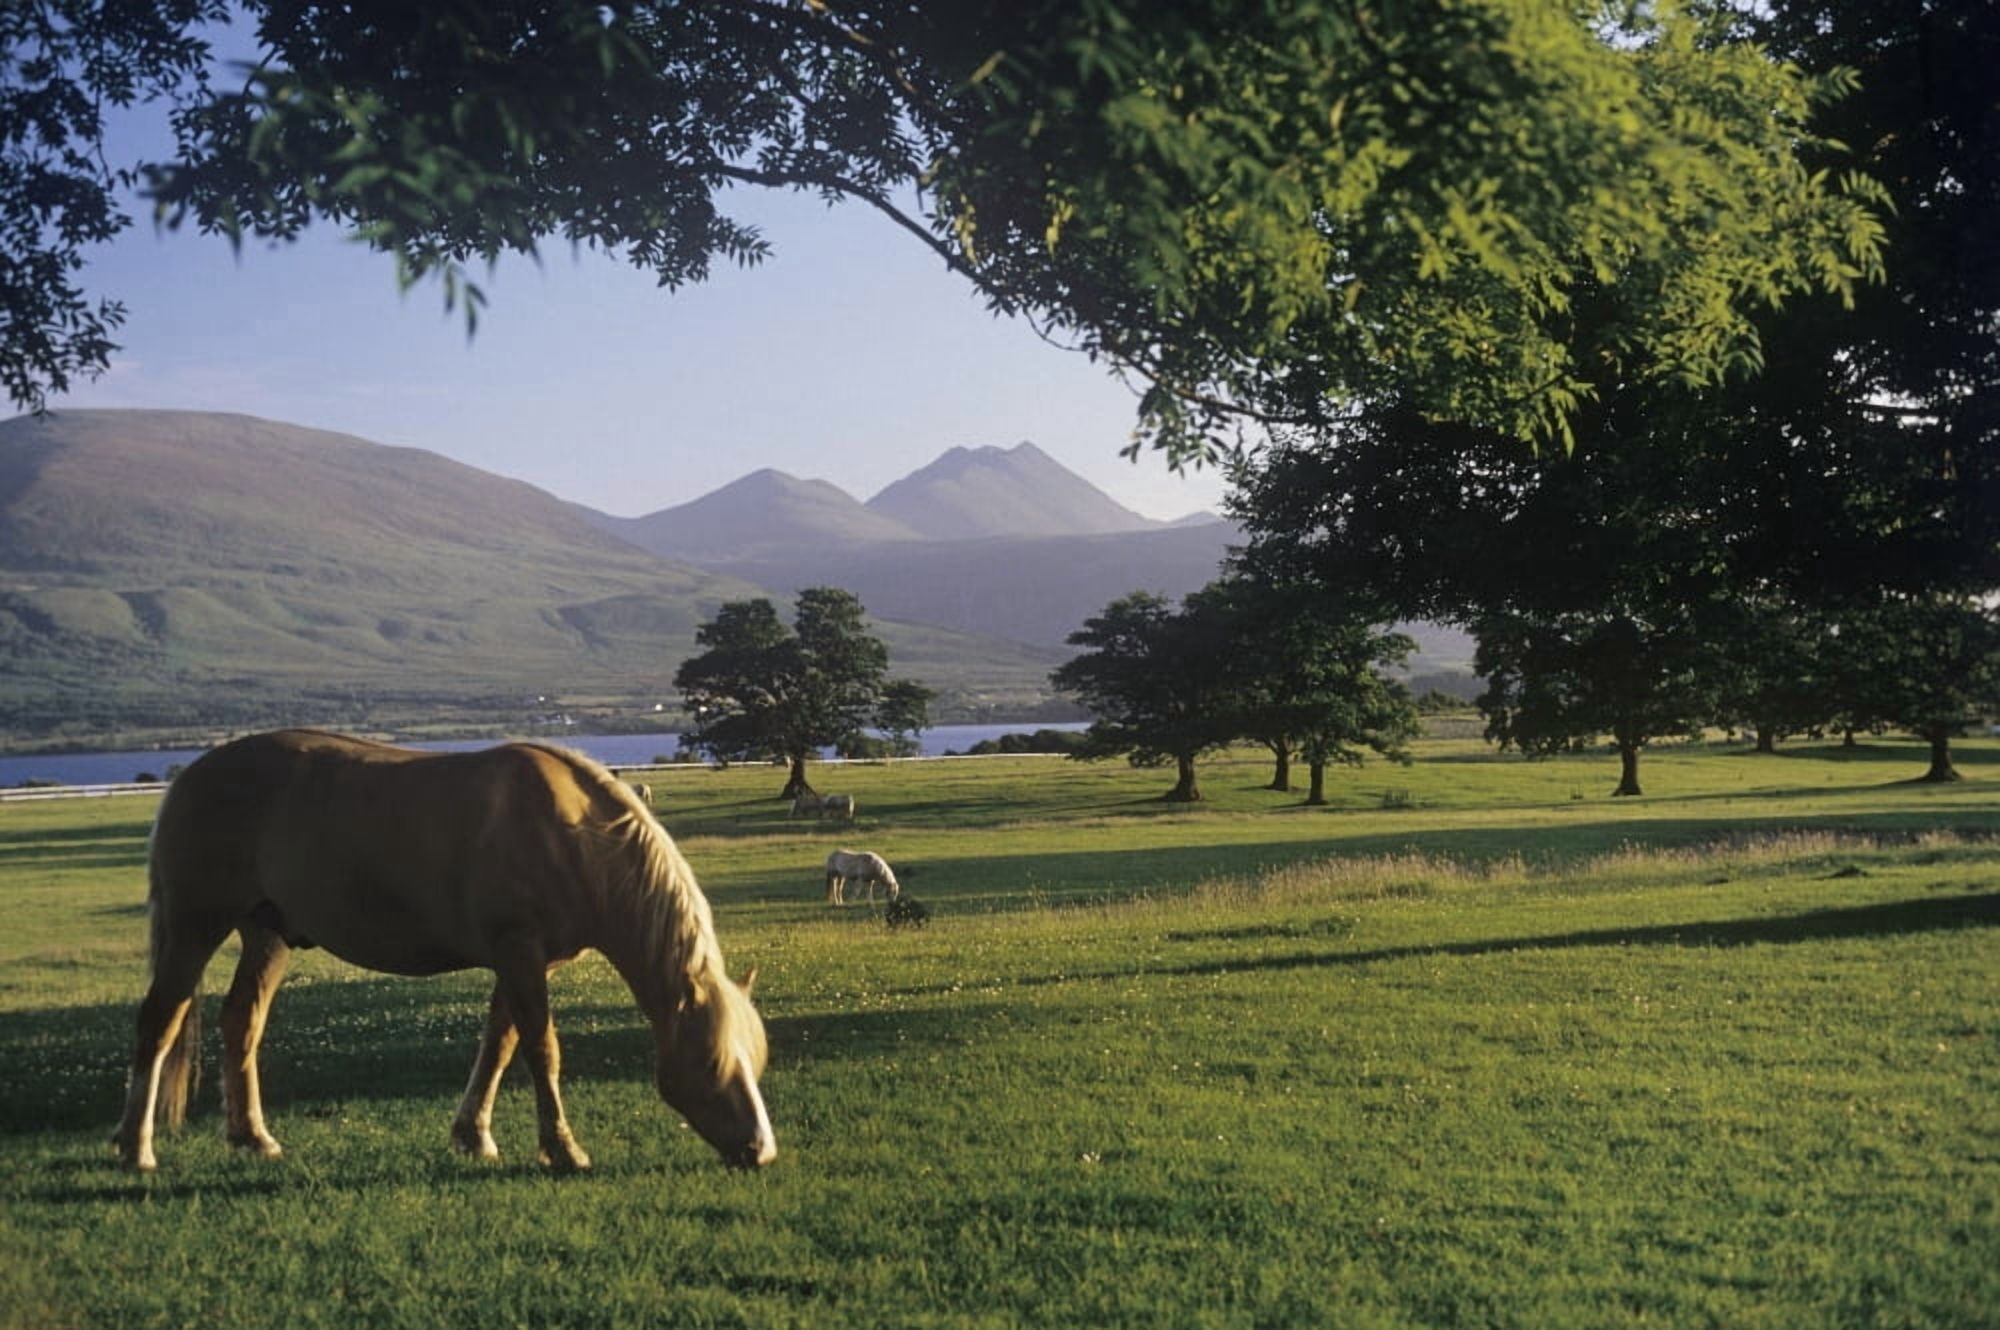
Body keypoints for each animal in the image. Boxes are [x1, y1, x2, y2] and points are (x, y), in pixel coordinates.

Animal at [111, 729, 774, 1173]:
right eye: (713, 1063)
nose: (761, 1151)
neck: (573, 834)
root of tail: (191, 776)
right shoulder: (519, 952)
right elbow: (542, 1049)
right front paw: (563, 1150)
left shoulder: (522, 961)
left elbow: (500, 1045)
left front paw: (474, 1135)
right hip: (194, 926)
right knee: (160, 1023)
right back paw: (135, 1147)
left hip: (266, 933)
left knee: (241, 1022)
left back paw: (253, 1137)